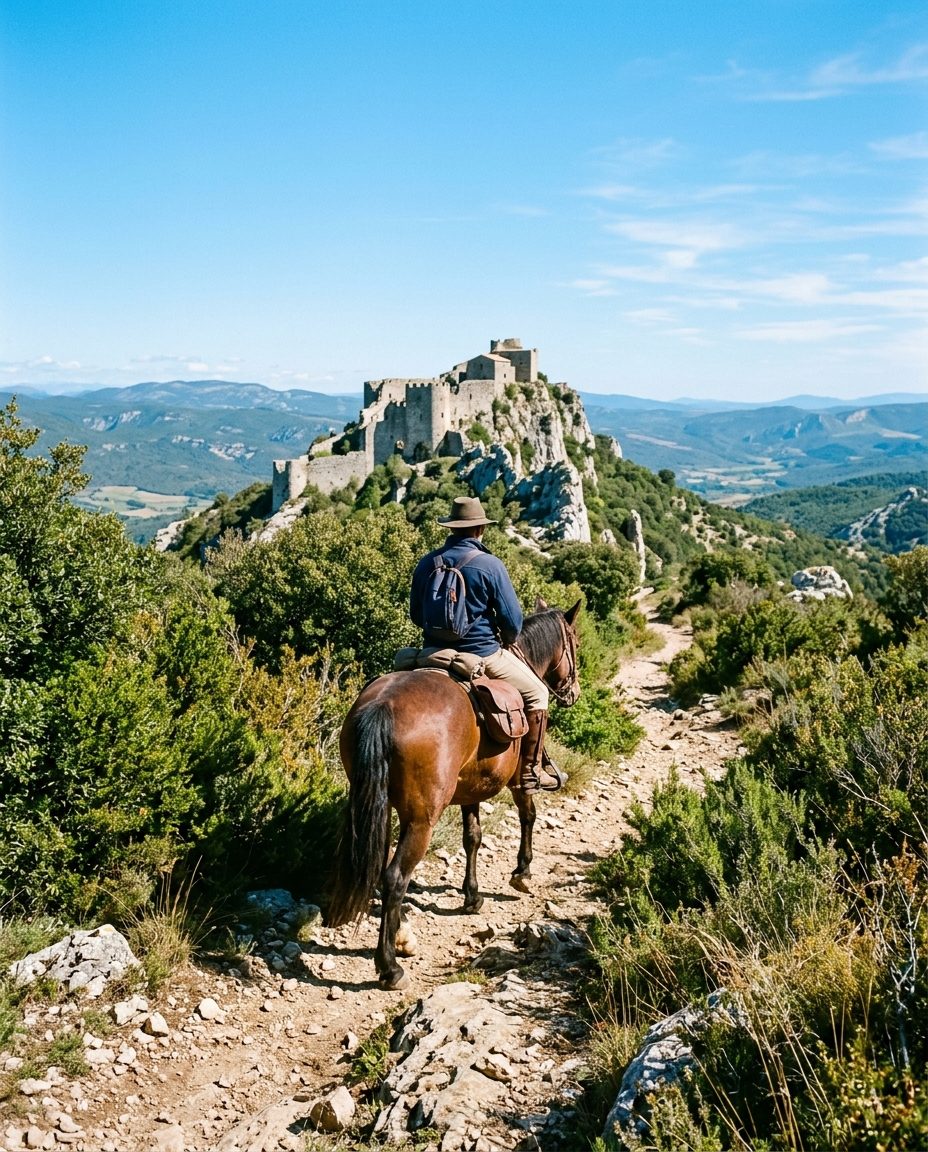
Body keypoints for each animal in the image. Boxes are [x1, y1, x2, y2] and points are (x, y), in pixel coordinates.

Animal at [327, 598, 581, 990]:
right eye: (575, 644)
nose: (573, 693)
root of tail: (383, 706)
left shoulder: (470, 788)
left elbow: (472, 837)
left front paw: (472, 895)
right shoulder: (517, 781)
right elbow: (528, 815)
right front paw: (522, 872)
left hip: (376, 804)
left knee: (379, 869)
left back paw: (401, 937)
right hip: (422, 819)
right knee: (395, 877)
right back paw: (389, 966)